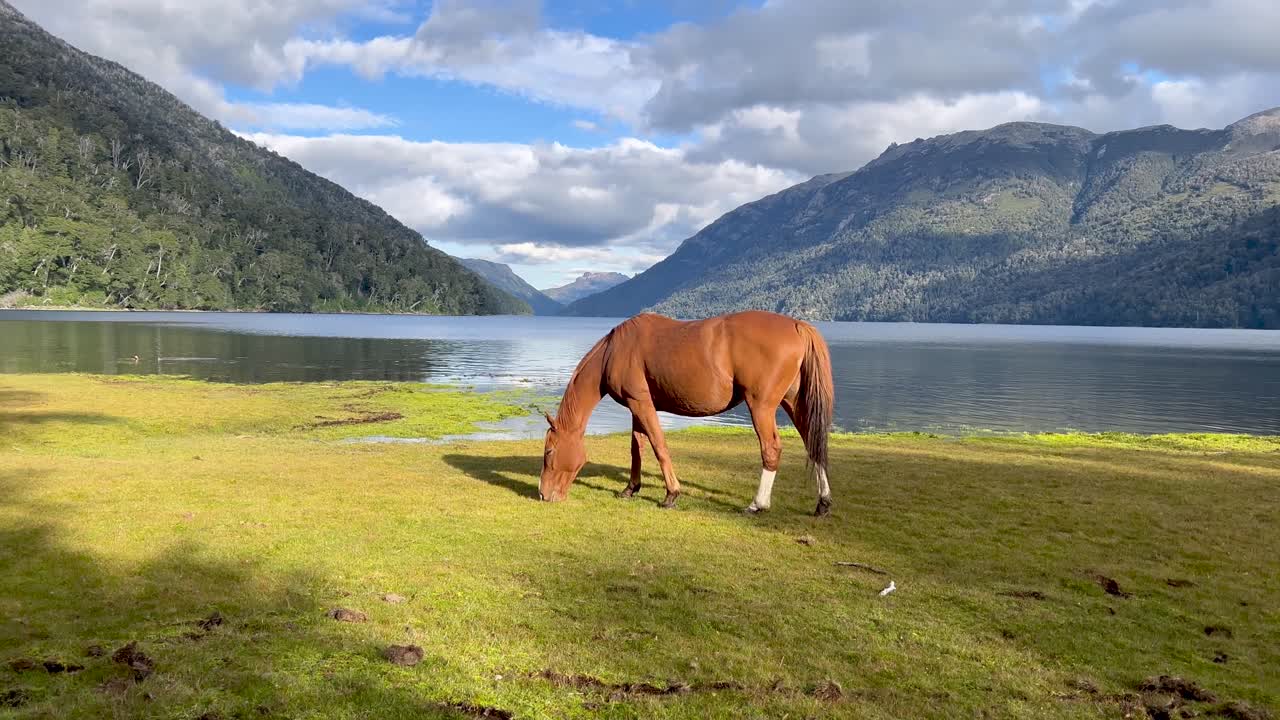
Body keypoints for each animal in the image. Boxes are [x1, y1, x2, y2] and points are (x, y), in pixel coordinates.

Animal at [539, 310, 835, 516]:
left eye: (549, 451)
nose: (543, 495)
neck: (615, 350)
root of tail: (797, 325)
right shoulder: (636, 406)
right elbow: (637, 448)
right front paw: (630, 488)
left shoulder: (642, 404)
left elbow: (659, 445)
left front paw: (671, 494)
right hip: (793, 402)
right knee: (813, 445)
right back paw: (822, 502)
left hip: (761, 406)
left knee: (771, 450)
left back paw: (757, 504)